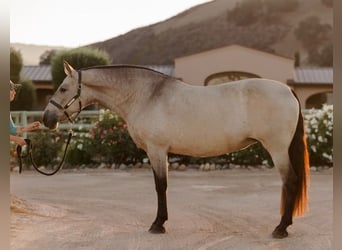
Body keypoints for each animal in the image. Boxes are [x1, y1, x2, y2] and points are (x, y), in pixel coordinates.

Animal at [42, 60, 310, 238]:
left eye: (63, 88)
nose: (47, 118)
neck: (146, 96)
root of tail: (288, 90)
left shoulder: (157, 150)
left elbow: (160, 186)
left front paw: (158, 224)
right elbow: (162, 186)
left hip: (278, 149)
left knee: (291, 181)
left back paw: (281, 228)